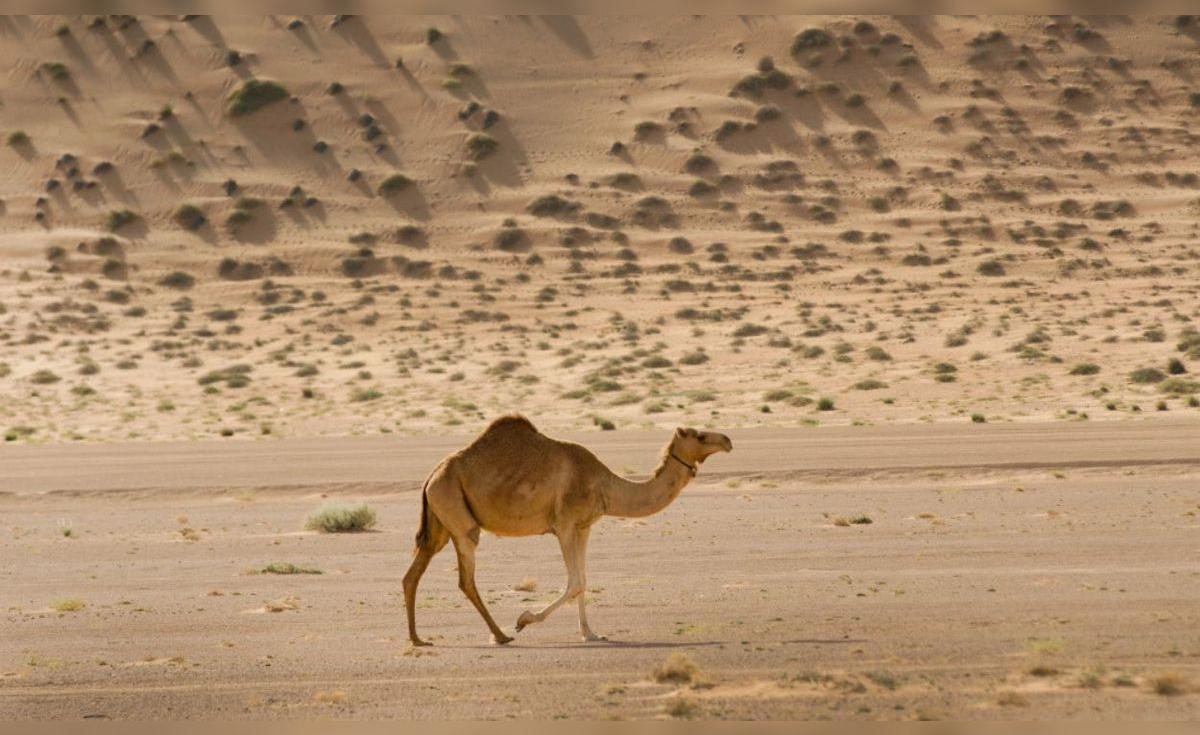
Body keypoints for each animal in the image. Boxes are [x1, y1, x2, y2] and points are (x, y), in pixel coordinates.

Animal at [402, 415, 732, 645]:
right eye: (700, 435)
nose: (728, 440)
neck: (604, 485)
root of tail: (432, 475)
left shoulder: (584, 527)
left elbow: (584, 582)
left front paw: (590, 633)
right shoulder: (563, 525)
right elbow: (574, 582)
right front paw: (524, 619)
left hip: (440, 521)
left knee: (413, 573)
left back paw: (418, 639)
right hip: (458, 515)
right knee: (466, 578)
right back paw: (501, 635)